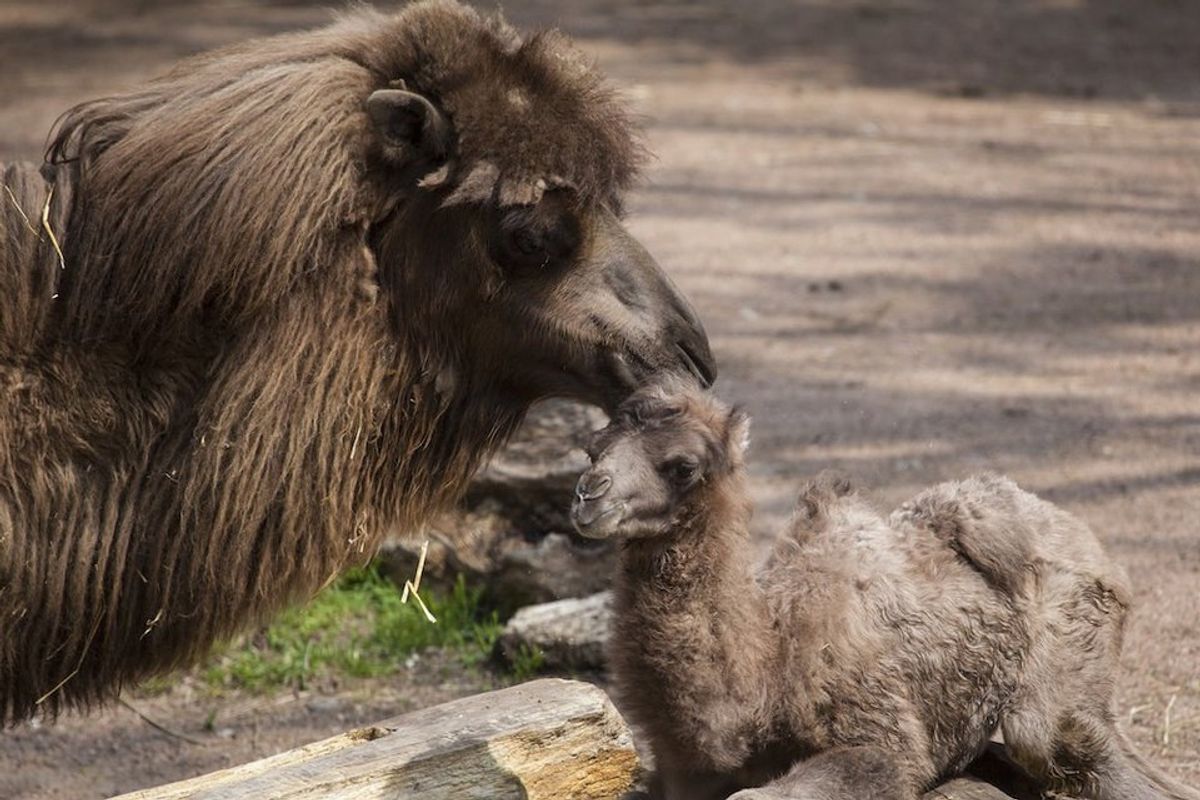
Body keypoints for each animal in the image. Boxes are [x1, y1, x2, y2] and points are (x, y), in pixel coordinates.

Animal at [573, 383, 1200, 800]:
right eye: (593, 446)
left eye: (682, 466)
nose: (588, 494)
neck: (765, 671)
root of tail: (1085, 538)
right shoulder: (681, 773)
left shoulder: (883, 739)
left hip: (1072, 647)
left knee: (1064, 743)